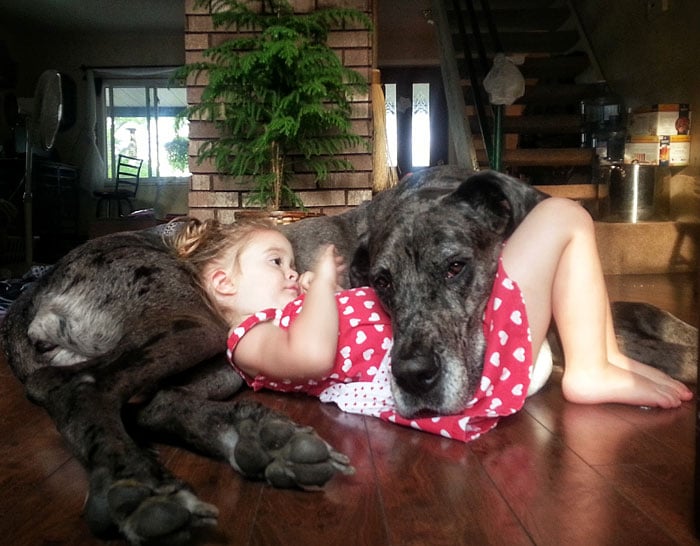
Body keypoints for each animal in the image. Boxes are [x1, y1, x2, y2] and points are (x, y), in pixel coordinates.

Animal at [2, 166, 696, 544]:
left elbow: (650, 315)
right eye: (381, 283)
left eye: (455, 266)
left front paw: (678, 333)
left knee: (150, 404)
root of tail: (31, 292)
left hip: (220, 363)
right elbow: (652, 346)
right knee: (87, 392)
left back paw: (260, 442)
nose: (413, 377)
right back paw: (136, 492)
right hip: (190, 324)